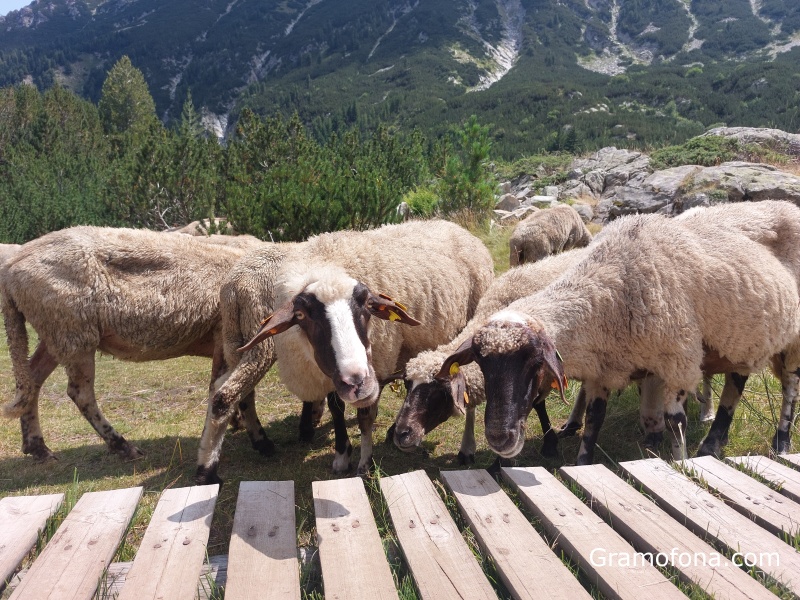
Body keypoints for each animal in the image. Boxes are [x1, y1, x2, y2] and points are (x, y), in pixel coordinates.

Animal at [0, 225, 268, 460]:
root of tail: (11, 268)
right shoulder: (226, 334)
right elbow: (241, 390)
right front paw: (255, 434)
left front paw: (236, 422)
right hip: (73, 332)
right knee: (80, 393)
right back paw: (122, 446)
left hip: (55, 332)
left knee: (32, 380)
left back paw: (38, 448)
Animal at [195, 218, 494, 486]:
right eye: (301, 315)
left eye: (368, 305)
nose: (357, 381)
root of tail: (454, 225)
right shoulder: (331, 374)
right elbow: (336, 409)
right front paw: (342, 454)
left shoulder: (377, 367)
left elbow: (364, 417)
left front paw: (365, 463)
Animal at [390, 248, 592, 464]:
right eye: (407, 384)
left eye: (438, 391)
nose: (401, 434)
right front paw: (467, 449)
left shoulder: (540, 371)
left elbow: (537, 404)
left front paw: (549, 444)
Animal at [434, 213, 800, 466]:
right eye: (481, 363)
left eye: (534, 363)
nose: (498, 437)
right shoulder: (604, 369)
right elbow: (594, 422)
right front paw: (584, 462)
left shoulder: (679, 360)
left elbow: (675, 422)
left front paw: (680, 461)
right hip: (744, 339)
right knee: (736, 382)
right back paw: (712, 443)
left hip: (792, 342)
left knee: (789, 388)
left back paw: (780, 441)